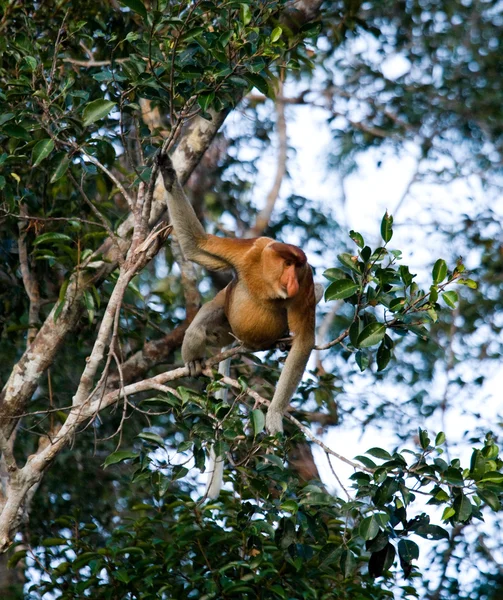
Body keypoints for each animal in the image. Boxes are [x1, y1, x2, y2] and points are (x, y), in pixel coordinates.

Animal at [158, 152, 322, 438]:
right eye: (288, 264)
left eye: (298, 267)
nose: (292, 280)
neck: (267, 280)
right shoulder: (250, 251)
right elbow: (197, 245)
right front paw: (168, 174)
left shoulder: (307, 284)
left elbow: (304, 340)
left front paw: (275, 414)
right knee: (198, 329)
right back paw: (194, 360)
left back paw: (281, 342)